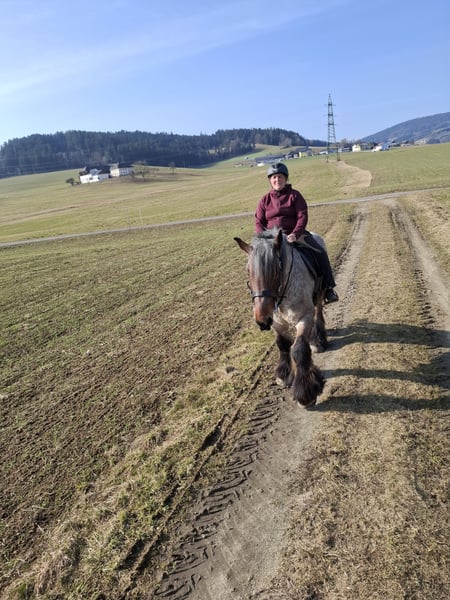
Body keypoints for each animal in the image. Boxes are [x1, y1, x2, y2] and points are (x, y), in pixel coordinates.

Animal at [234, 228, 327, 408]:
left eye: (276, 270)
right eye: (248, 271)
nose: (262, 320)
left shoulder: (304, 318)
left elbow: (299, 350)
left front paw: (306, 393)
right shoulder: (277, 322)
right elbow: (283, 344)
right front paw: (284, 374)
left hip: (319, 294)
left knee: (318, 313)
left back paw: (318, 340)